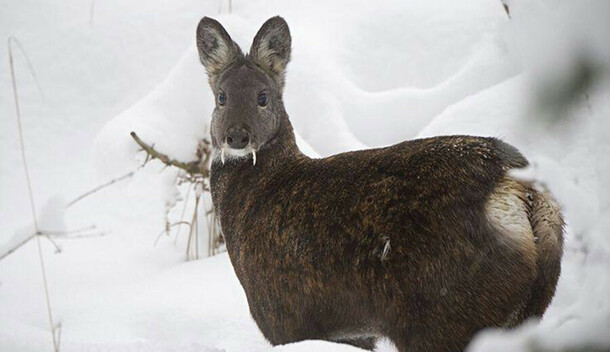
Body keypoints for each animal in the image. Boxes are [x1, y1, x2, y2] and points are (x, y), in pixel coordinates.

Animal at [194, 16, 560, 352]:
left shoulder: (282, 314)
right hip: (525, 308)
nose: (237, 136)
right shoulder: (352, 332)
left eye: (263, 97)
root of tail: (518, 188)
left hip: (441, 311)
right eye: (221, 97)